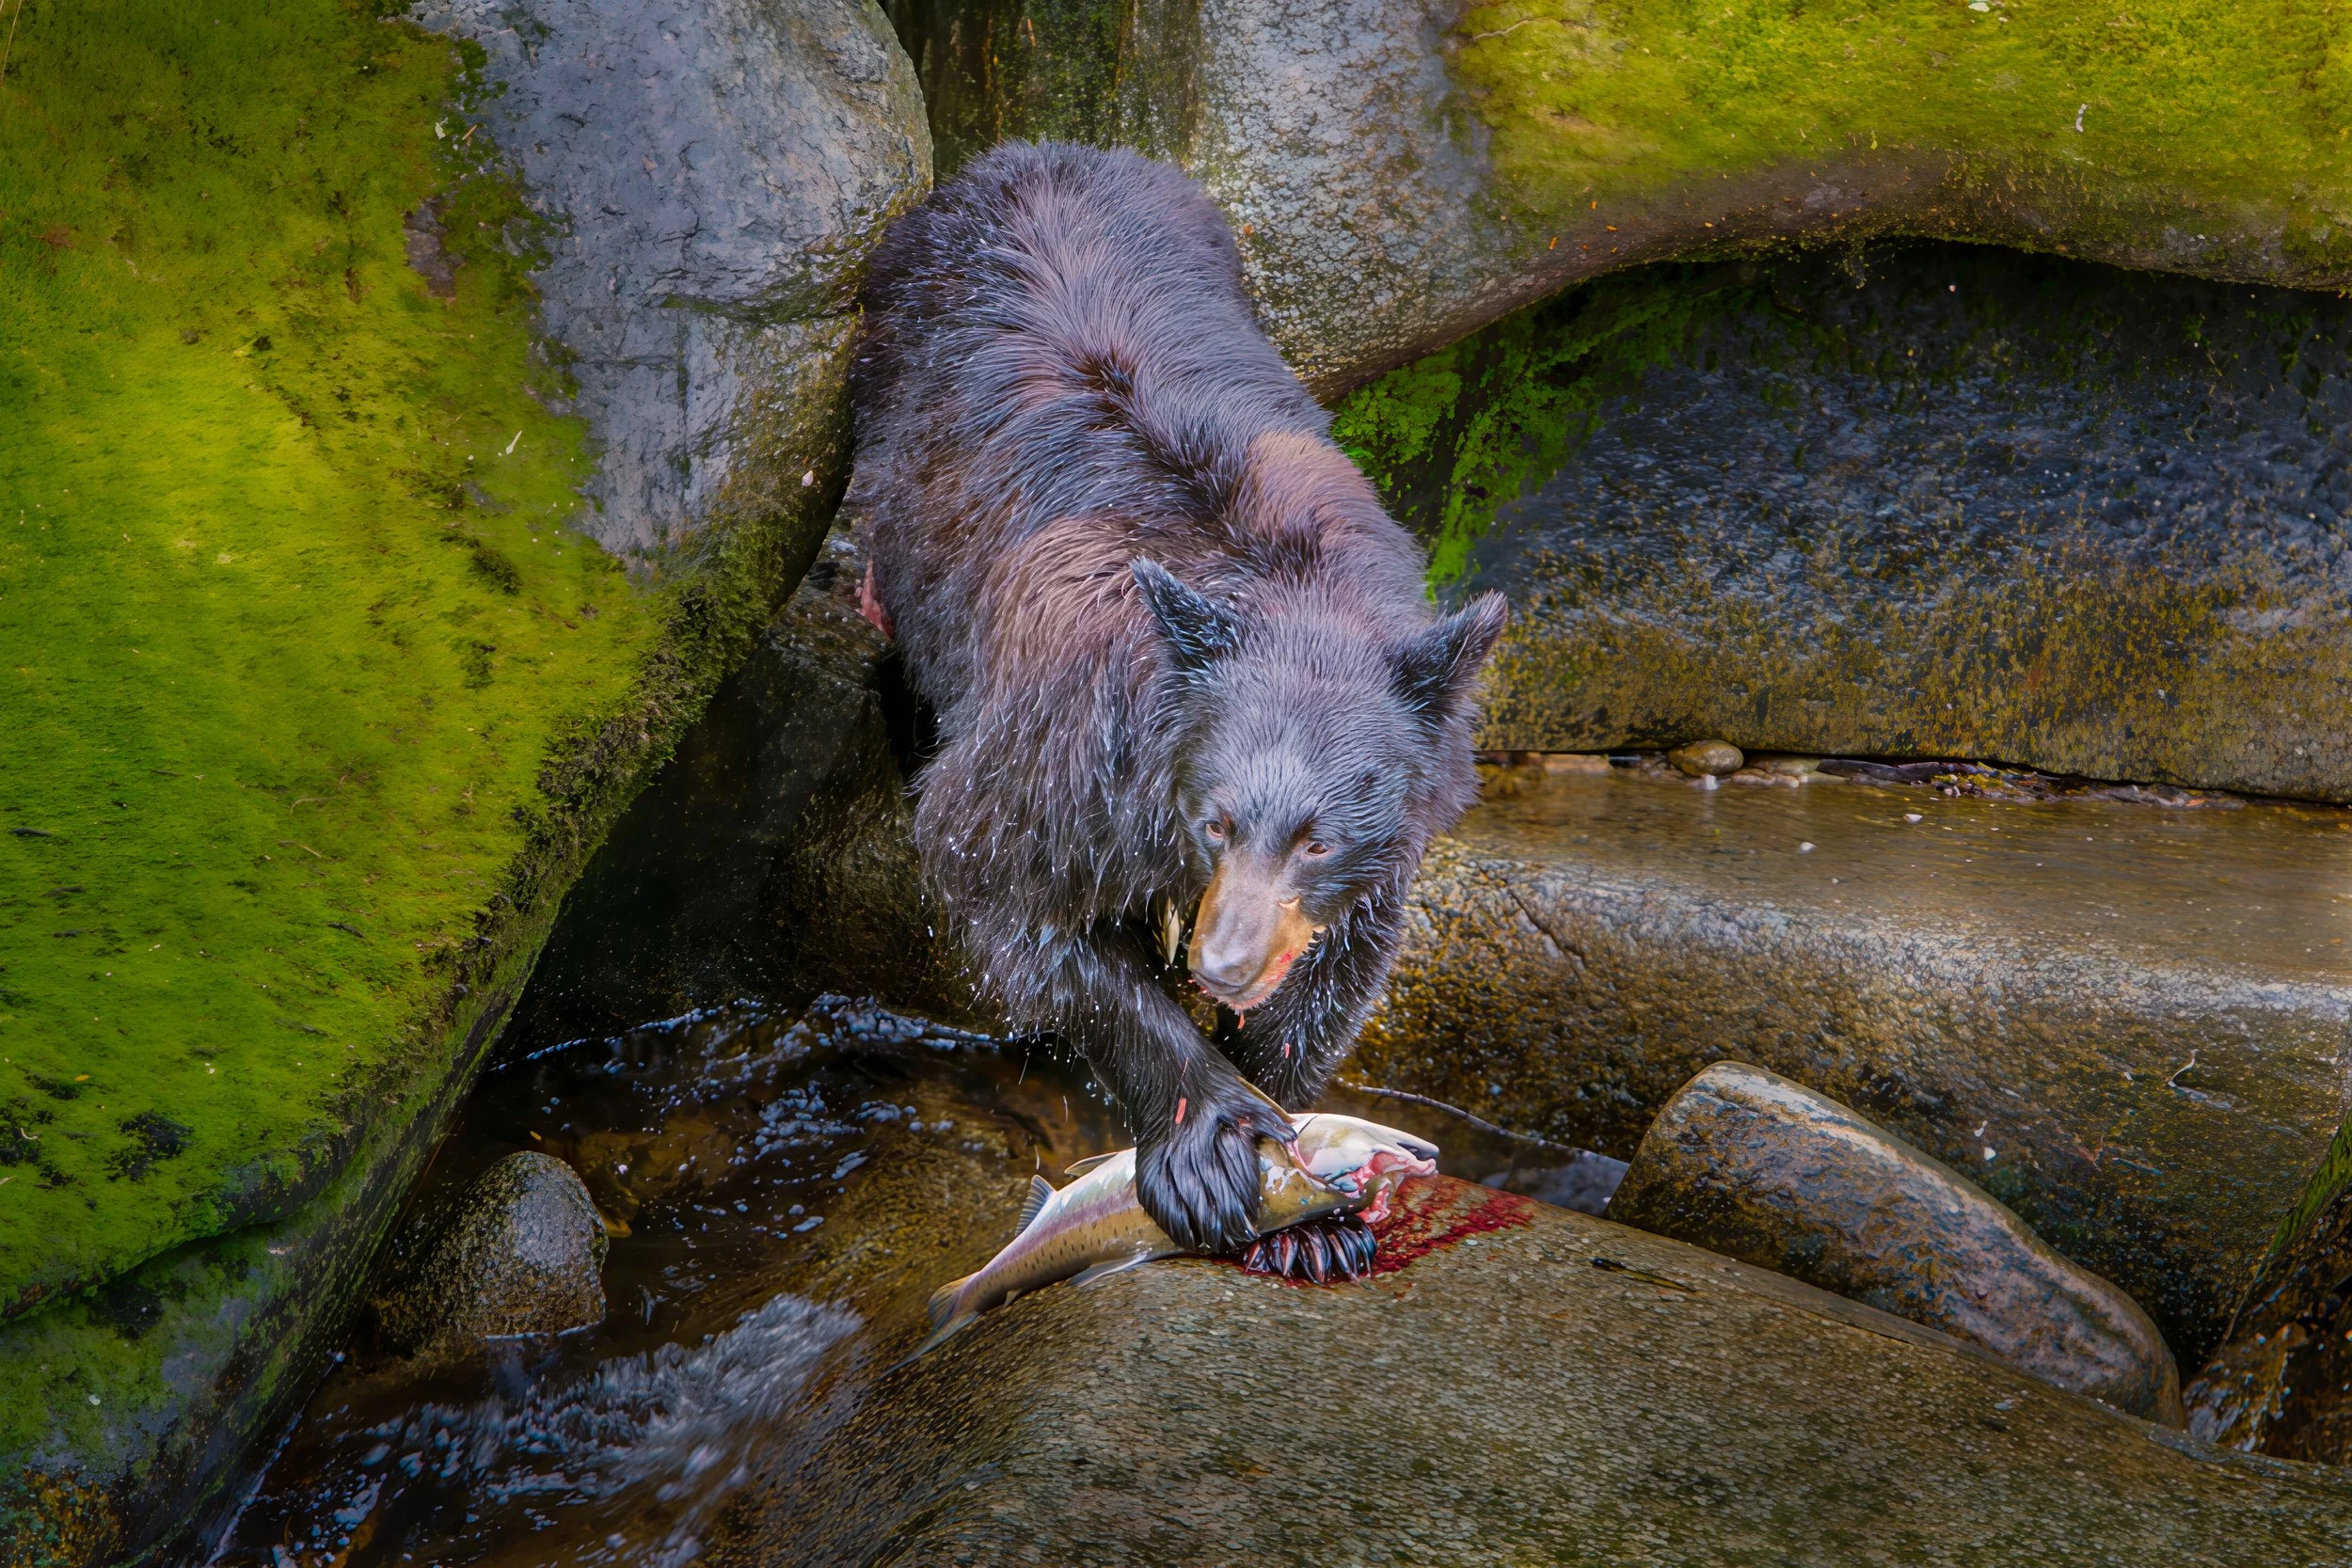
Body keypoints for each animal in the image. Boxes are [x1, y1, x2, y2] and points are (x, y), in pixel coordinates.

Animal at [850, 142, 1505, 1273]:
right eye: (1215, 820)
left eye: (1320, 838)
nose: (1225, 963)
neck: (1274, 584)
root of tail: (1029, 154)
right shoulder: (1065, 739)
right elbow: (1008, 893)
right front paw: (1209, 1143)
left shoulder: (1401, 817)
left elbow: (1345, 953)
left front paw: (1307, 1193)